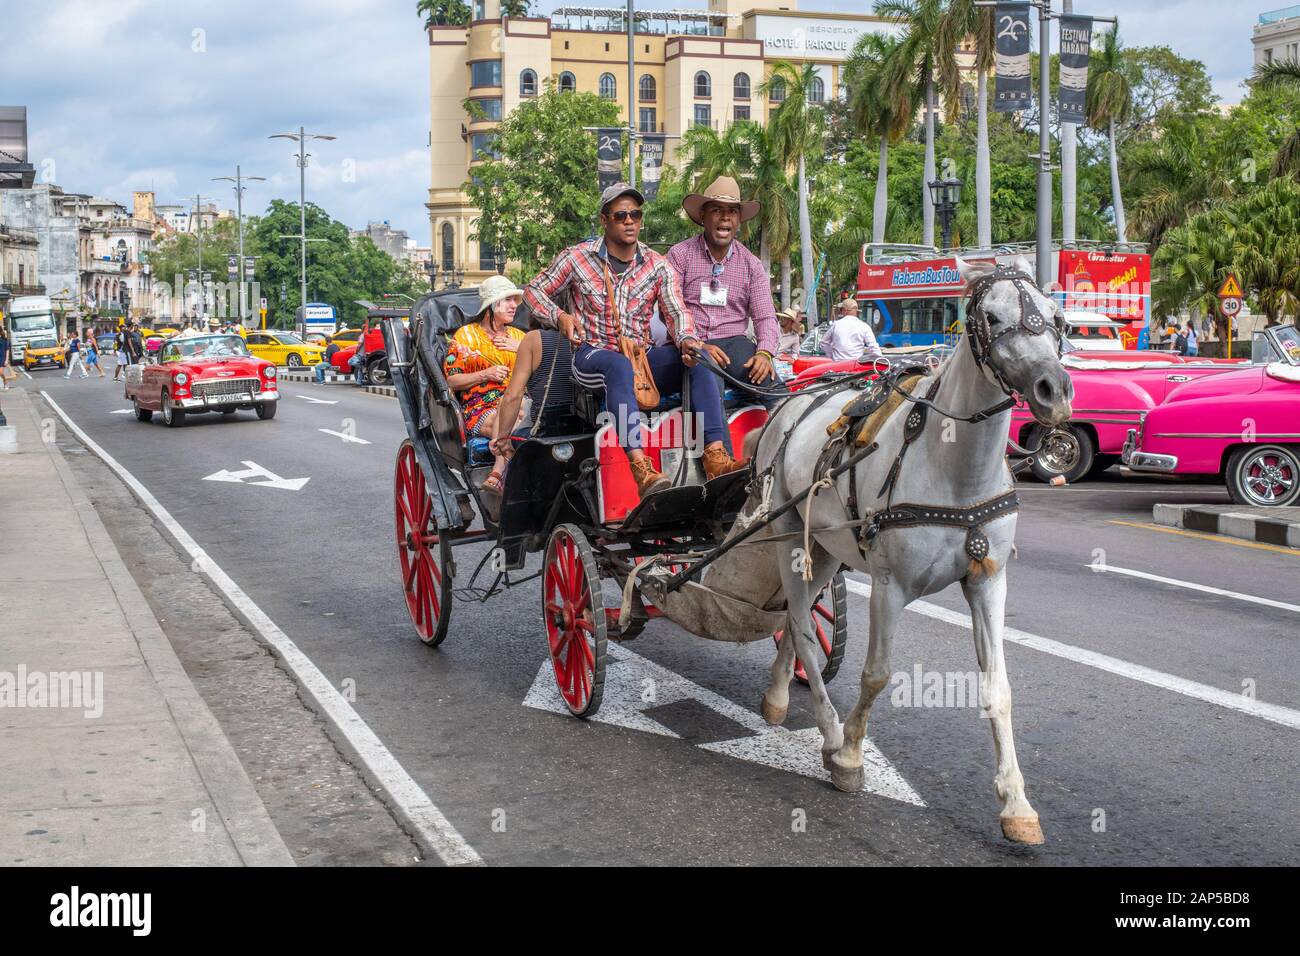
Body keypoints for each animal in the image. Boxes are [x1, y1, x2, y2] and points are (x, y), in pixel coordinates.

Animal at [759, 260, 1071, 842]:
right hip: (789, 536)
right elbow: (877, 674)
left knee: (797, 617)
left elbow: (999, 689)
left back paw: (777, 698)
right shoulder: (890, 585)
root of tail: (792, 398)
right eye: (991, 317)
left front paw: (1016, 803)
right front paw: (850, 756)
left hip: (828, 548)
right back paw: (829, 731)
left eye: (1057, 317)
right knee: (799, 624)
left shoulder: (988, 581)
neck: (955, 470)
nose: (1055, 390)